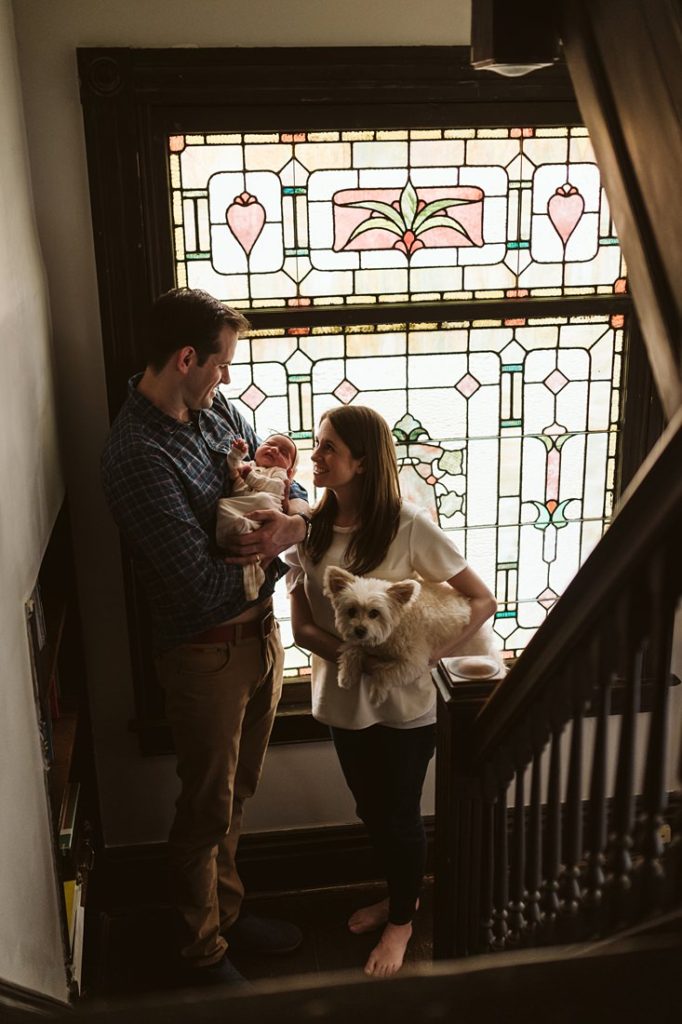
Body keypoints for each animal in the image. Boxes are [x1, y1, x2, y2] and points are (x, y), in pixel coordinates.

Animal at [321, 565, 501, 708]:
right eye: (351, 611)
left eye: (374, 613)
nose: (359, 630)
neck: (397, 624)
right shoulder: (364, 642)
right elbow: (351, 649)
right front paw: (346, 675)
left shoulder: (413, 662)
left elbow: (383, 672)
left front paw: (376, 693)